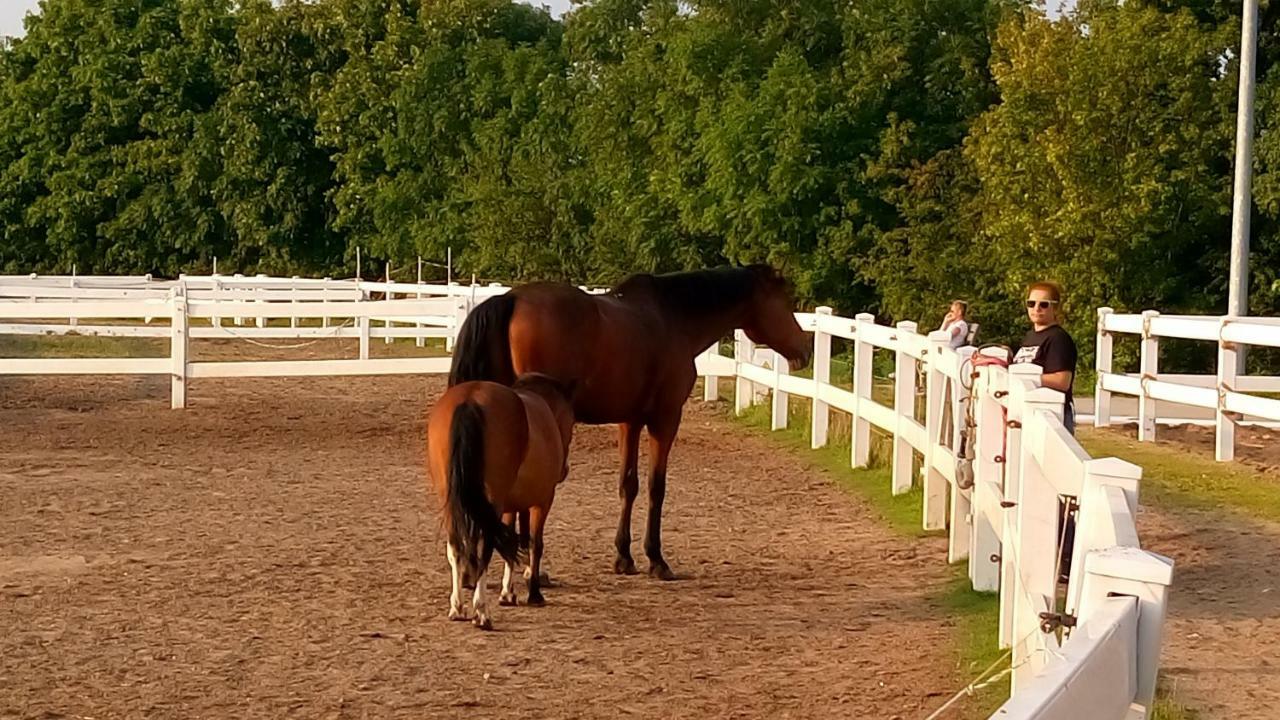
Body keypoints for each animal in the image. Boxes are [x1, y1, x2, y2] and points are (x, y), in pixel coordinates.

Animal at [424, 368, 576, 627]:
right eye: (572, 422)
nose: (564, 470)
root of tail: (470, 398)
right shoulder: (542, 502)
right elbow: (535, 543)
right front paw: (534, 593)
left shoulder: (508, 507)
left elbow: (510, 543)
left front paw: (508, 593)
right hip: (493, 500)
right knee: (485, 548)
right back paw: (481, 611)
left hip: (451, 499)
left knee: (456, 546)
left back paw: (458, 607)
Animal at [450, 263, 808, 576]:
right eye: (783, 300)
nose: (805, 348)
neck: (673, 319)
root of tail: (511, 299)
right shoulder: (665, 419)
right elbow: (655, 487)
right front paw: (657, 559)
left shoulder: (630, 421)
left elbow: (628, 484)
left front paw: (624, 556)